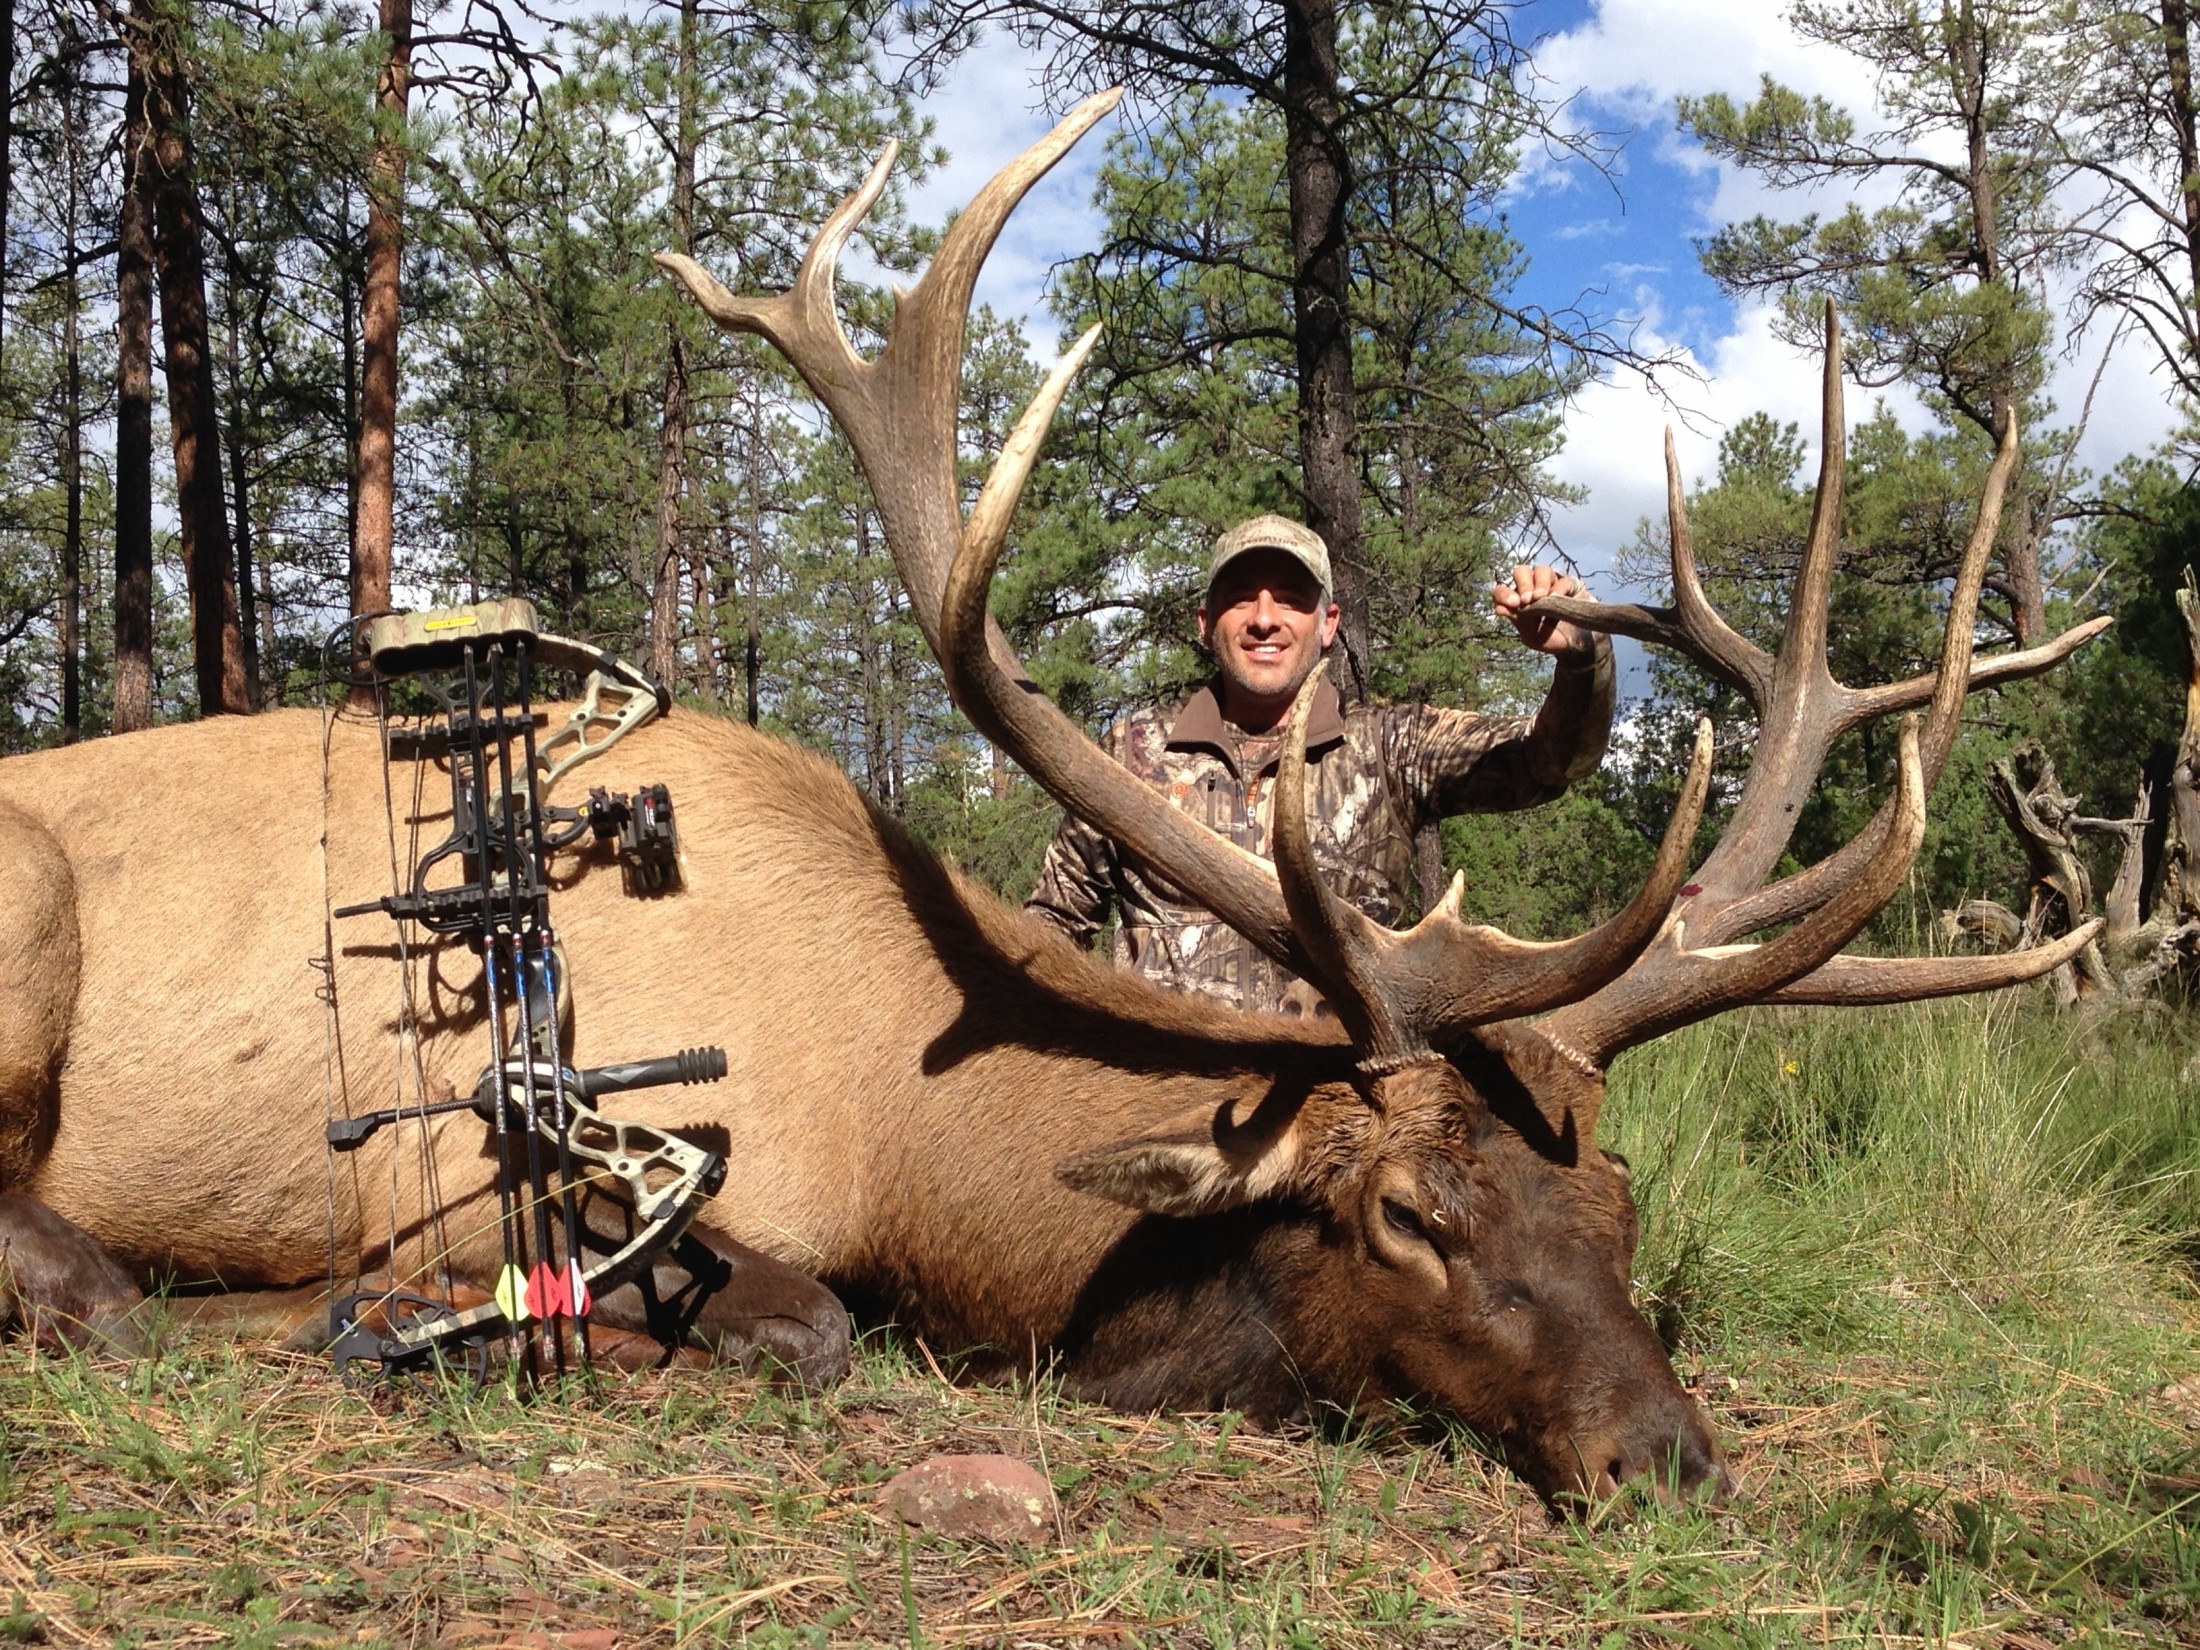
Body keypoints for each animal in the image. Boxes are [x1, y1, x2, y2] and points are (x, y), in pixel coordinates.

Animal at [0, 87, 2094, 1513]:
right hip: (31, 899)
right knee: (82, 1277)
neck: (910, 1136)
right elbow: (801, 1324)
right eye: (1410, 1214)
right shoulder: (523, 1180)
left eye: (1622, 1200)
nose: (1667, 1458)